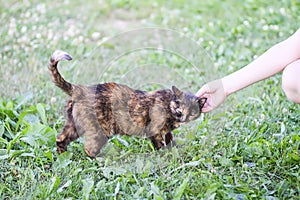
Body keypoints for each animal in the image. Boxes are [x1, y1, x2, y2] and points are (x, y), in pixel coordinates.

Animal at [48, 50, 206, 158]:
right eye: (179, 106)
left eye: (192, 111)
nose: (182, 116)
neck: (169, 106)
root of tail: (80, 89)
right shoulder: (155, 131)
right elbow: (160, 146)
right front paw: (165, 156)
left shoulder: (167, 131)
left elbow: (171, 141)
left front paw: (175, 151)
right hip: (101, 130)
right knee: (89, 149)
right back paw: (101, 160)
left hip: (74, 126)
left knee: (60, 139)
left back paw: (63, 156)